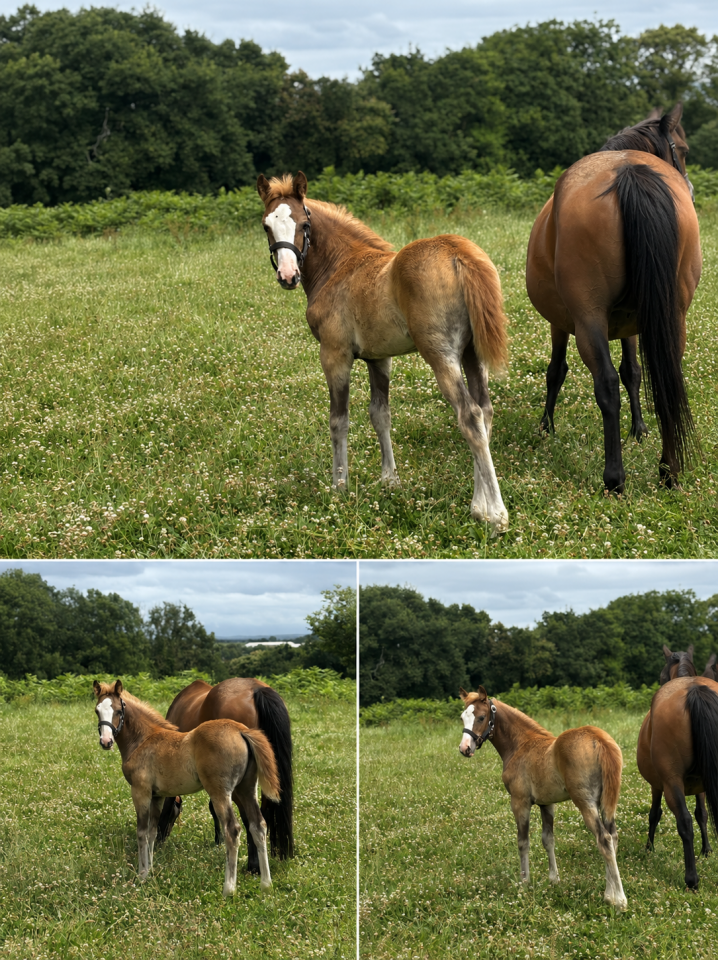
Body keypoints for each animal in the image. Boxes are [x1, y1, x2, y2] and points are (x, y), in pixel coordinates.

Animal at [93, 680, 279, 895]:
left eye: (117, 710)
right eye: (97, 710)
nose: (106, 742)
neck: (143, 739)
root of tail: (241, 730)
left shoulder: (141, 792)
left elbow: (141, 833)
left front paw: (142, 875)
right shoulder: (157, 796)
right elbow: (152, 832)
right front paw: (151, 870)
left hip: (220, 792)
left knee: (232, 830)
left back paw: (229, 888)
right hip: (246, 789)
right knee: (259, 825)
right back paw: (266, 883)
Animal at [256, 171, 510, 535]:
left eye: (304, 224)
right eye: (267, 225)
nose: (288, 276)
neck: (339, 267)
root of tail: (457, 251)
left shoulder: (334, 354)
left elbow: (339, 420)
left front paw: (340, 486)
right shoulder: (379, 357)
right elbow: (381, 415)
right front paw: (390, 480)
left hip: (440, 353)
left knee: (469, 415)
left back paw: (497, 516)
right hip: (471, 353)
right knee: (485, 411)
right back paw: (479, 505)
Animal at [459, 685, 627, 909]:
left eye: (481, 717)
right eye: (462, 717)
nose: (465, 749)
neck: (520, 744)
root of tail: (598, 739)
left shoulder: (519, 802)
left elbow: (523, 842)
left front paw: (524, 883)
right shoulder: (547, 804)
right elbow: (548, 840)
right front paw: (554, 879)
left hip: (585, 802)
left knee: (604, 839)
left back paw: (619, 900)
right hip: (607, 802)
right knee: (613, 837)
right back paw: (610, 893)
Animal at [526, 103, 702, 492]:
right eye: (682, 150)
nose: (692, 189)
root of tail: (629, 172)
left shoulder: (565, 323)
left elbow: (557, 371)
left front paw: (546, 427)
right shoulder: (633, 323)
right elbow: (633, 372)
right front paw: (640, 429)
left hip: (589, 319)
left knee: (605, 384)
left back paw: (615, 478)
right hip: (670, 314)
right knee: (667, 377)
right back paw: (668, 470)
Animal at [637, 676, 718, 888]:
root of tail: (694, 688)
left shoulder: (657, 786)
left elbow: (654, 814)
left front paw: (649, 847)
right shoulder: (702, 786)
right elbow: (702, 814)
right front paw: (707, 850)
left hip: (671, 783)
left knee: (684, 821)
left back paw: (691, 879)